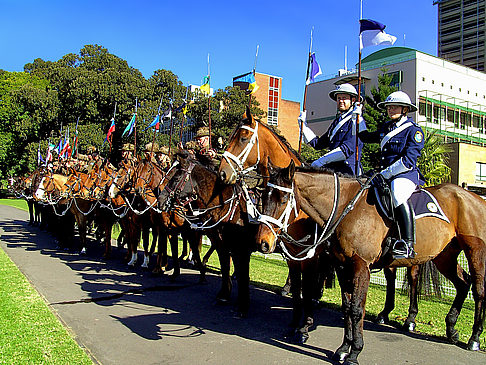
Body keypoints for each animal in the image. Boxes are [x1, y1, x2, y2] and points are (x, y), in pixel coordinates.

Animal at [256, 162, 484, 364]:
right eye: (263, 196)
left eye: (283, 199)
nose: (263, 242)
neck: (346, 208)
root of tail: (474, 196)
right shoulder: (342, 266)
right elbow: (347, 307)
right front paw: (343, 348)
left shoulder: (359, 266)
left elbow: (356, 308)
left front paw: (354, 352)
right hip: (444, 256)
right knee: (463, 283)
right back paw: (451, 329)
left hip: (475, 251)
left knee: (478, 289)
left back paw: (473, 338)